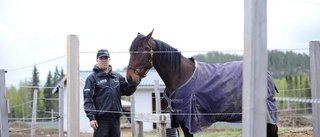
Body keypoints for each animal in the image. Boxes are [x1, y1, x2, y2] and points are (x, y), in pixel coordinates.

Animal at [125, 30, 278, 137]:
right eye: (130, 50)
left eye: (140, 51)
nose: (130, 78)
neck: (180, 76)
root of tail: (267, 74)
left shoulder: (188, 123)